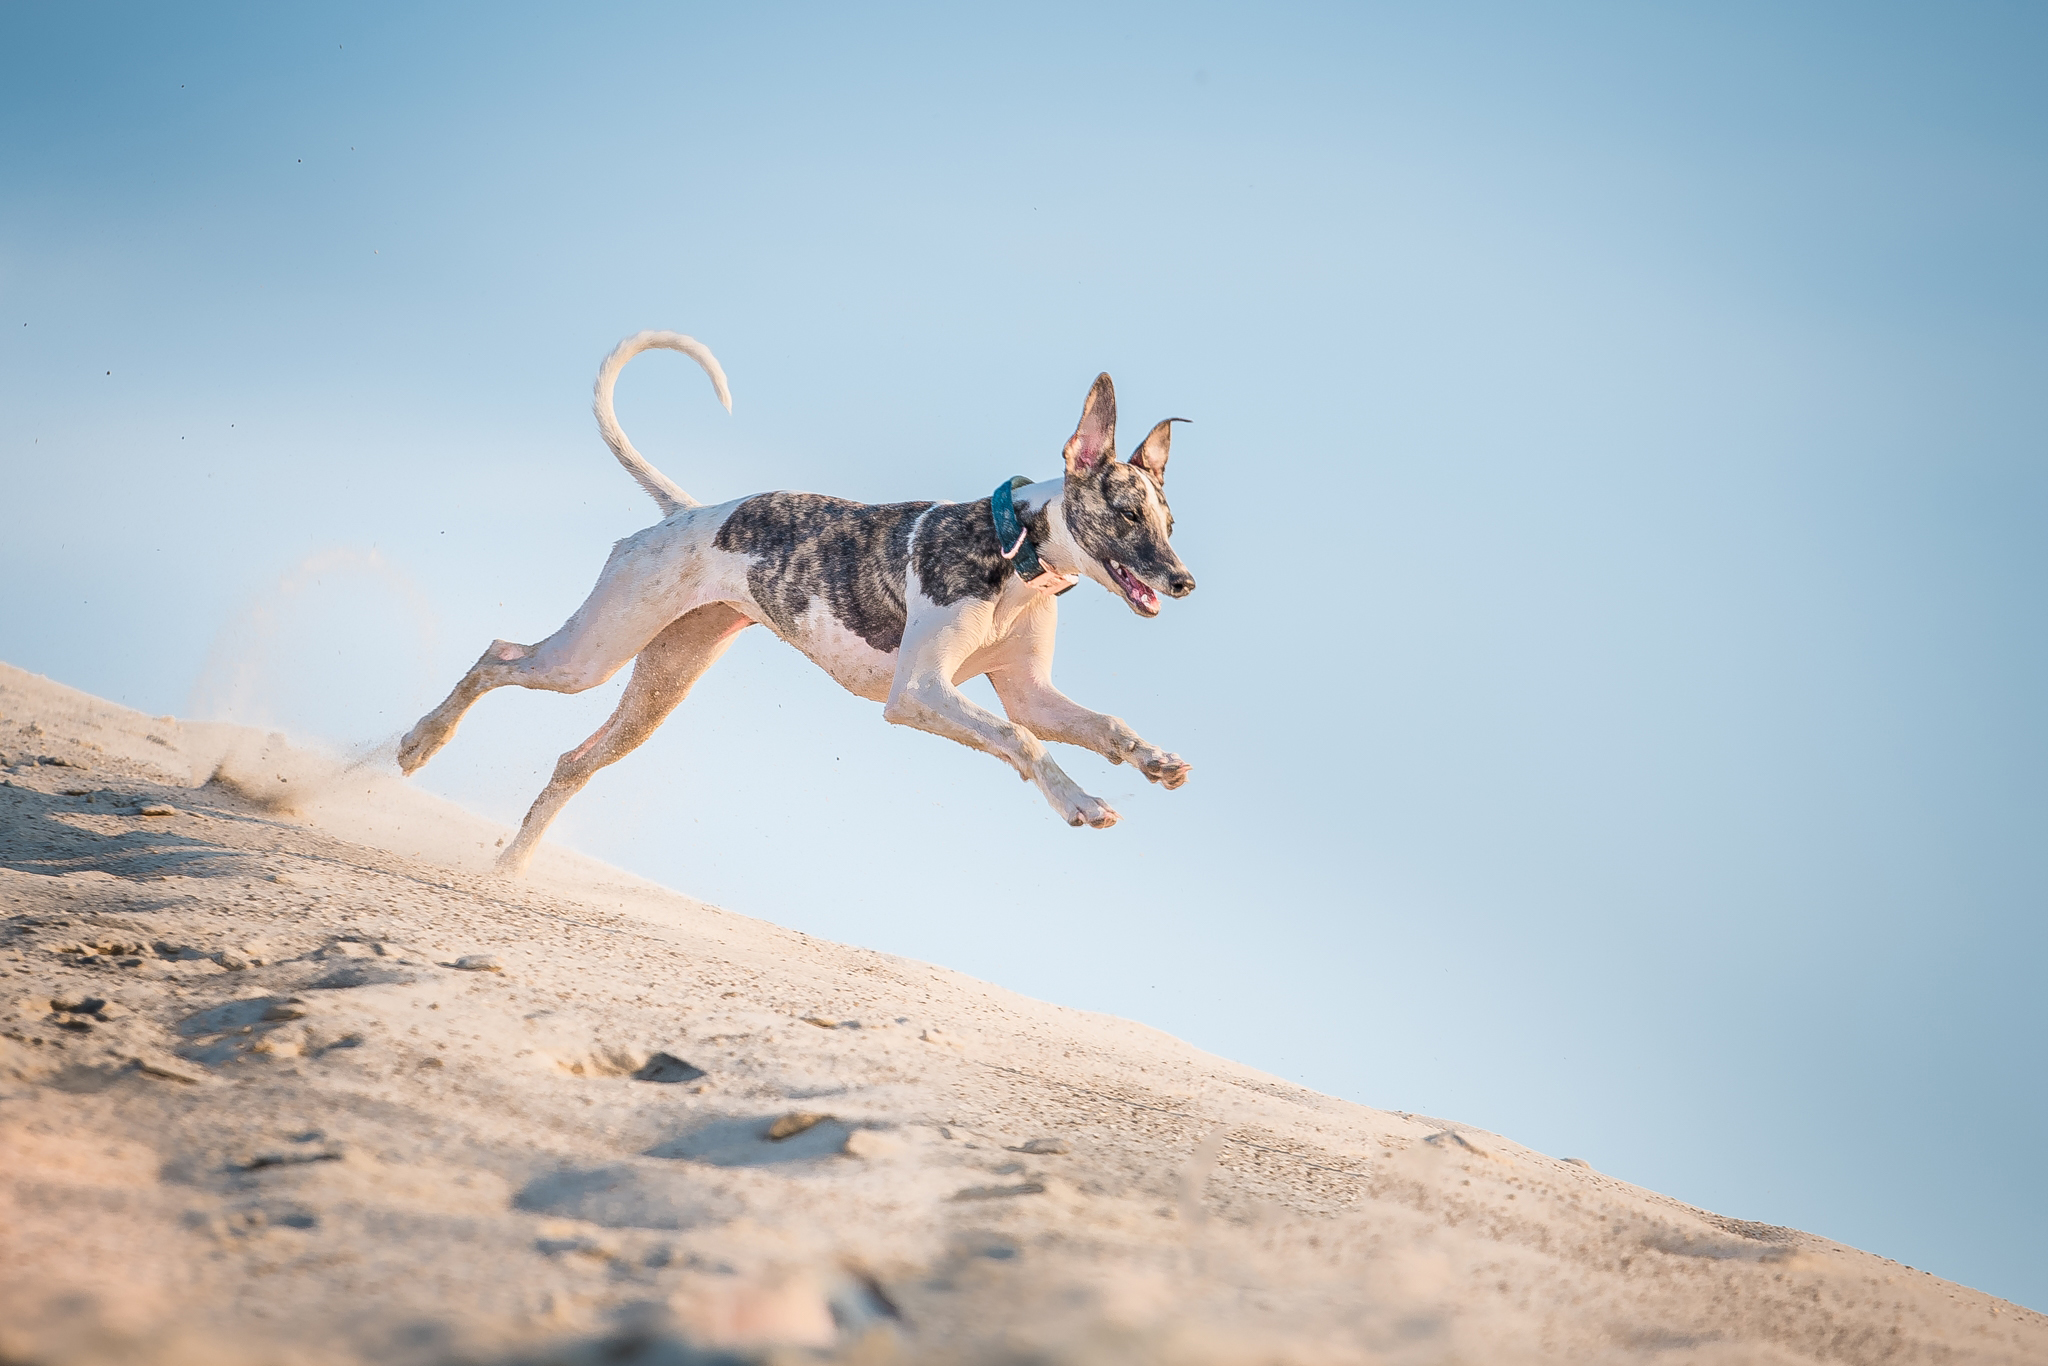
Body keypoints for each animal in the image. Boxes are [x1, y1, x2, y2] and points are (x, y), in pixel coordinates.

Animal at [397, 331, 1197, 875]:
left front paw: (1155, 760)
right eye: (1128, 514)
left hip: (659, 689)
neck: (1015, 549)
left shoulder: (1031, 692)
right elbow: (1019, 740)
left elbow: (1098, 725)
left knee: (571, 760)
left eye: (1169, 521)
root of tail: (683, 513)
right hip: (592, 653)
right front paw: (1080, 802)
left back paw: (508, 866)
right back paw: (419, 744)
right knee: (498, 655)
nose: (1185, 582)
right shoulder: (918, 692)